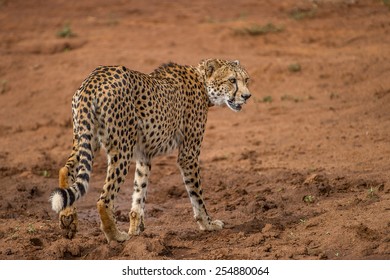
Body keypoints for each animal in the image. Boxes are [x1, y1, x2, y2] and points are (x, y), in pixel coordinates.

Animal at [49, 59, 250, 243]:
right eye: (232, 80)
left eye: (246, 79)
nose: (247, 95)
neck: (202, 81)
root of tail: (95, 78)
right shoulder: (189, 155)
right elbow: (197, 196)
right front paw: (208, 224)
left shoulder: (144, 155)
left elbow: (139, 193)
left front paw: (135, 229)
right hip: (121, 149)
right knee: (104, 199)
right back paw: (116, 236)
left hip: (87, 139)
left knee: (66, 169)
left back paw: (68, 218)